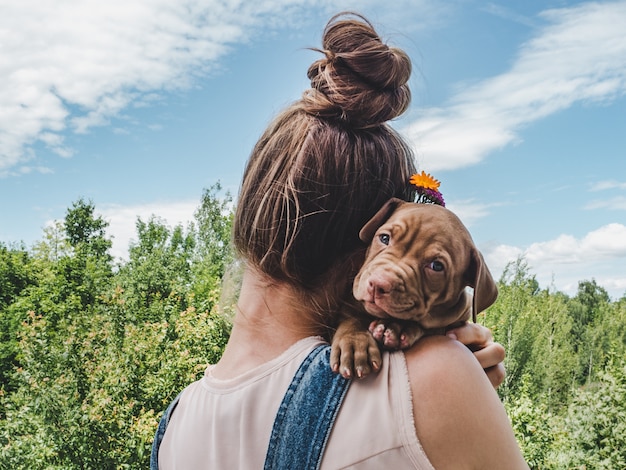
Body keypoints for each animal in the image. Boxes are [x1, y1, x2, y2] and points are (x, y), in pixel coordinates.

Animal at [326, 197, 498, 378]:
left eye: (436, 266)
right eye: (384, 238)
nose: (378, 284)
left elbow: (433, 327)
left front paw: (397, 327)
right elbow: (350, 318)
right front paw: (354, 343)